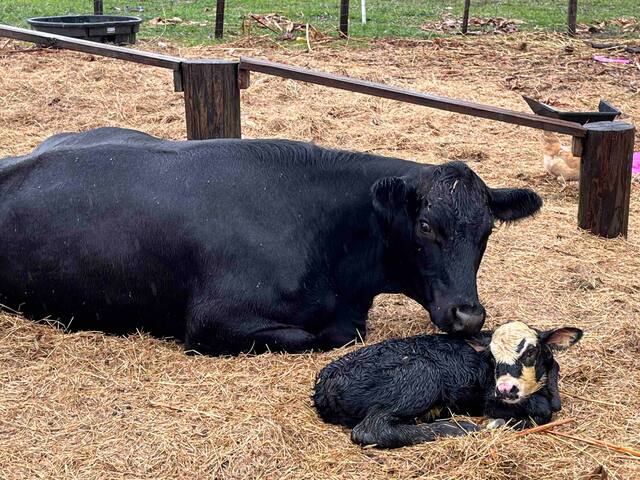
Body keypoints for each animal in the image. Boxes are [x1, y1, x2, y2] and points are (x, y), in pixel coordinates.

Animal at [312, 320, 584, 448]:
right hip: (421, 374)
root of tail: (324, 382)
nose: (505, 388)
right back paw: (462, 427)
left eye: (530, 351)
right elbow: (542, 411)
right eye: (491, 358)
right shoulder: (490, 400)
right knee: (371, 428)